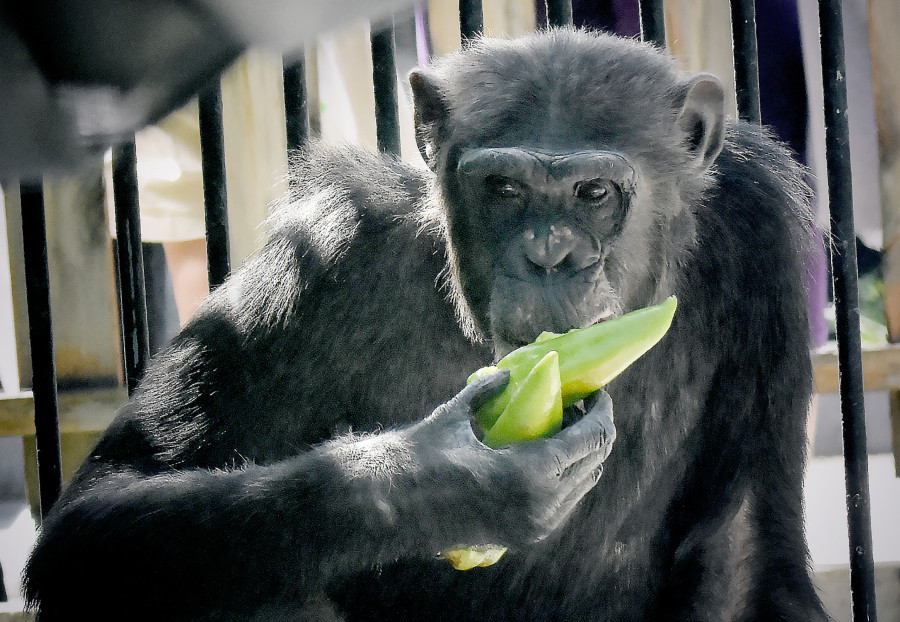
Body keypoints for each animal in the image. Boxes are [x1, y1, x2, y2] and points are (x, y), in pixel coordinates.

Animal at [21, 30, 828, 622]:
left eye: (593, 193)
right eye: (503, 189)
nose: (548, 253)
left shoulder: (763, 236)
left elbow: (747, 551)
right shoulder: (326, 253)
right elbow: (102, 510)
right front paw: (444, 481)